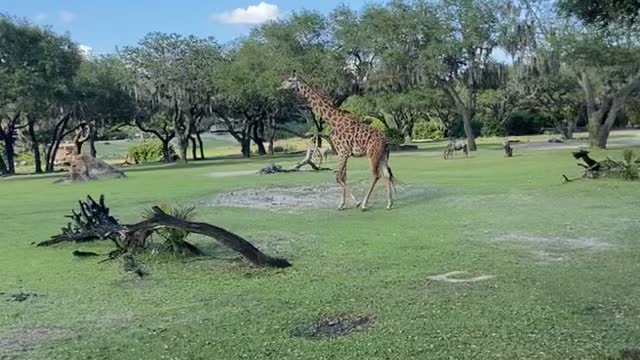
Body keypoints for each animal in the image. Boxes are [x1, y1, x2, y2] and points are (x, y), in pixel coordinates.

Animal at [282, 71, 396, 210]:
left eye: (289, 80)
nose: (281, 85)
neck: (333, 121)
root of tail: (386, 141)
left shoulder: (343, 152)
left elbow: (338, 177)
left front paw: (355, 202)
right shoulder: (344, 153)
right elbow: (343, 177)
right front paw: (342, 204)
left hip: (372, 154)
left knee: (376, 175)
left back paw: (364, 204)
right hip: (383, 155)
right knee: (386, 174)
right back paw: (389, 204)